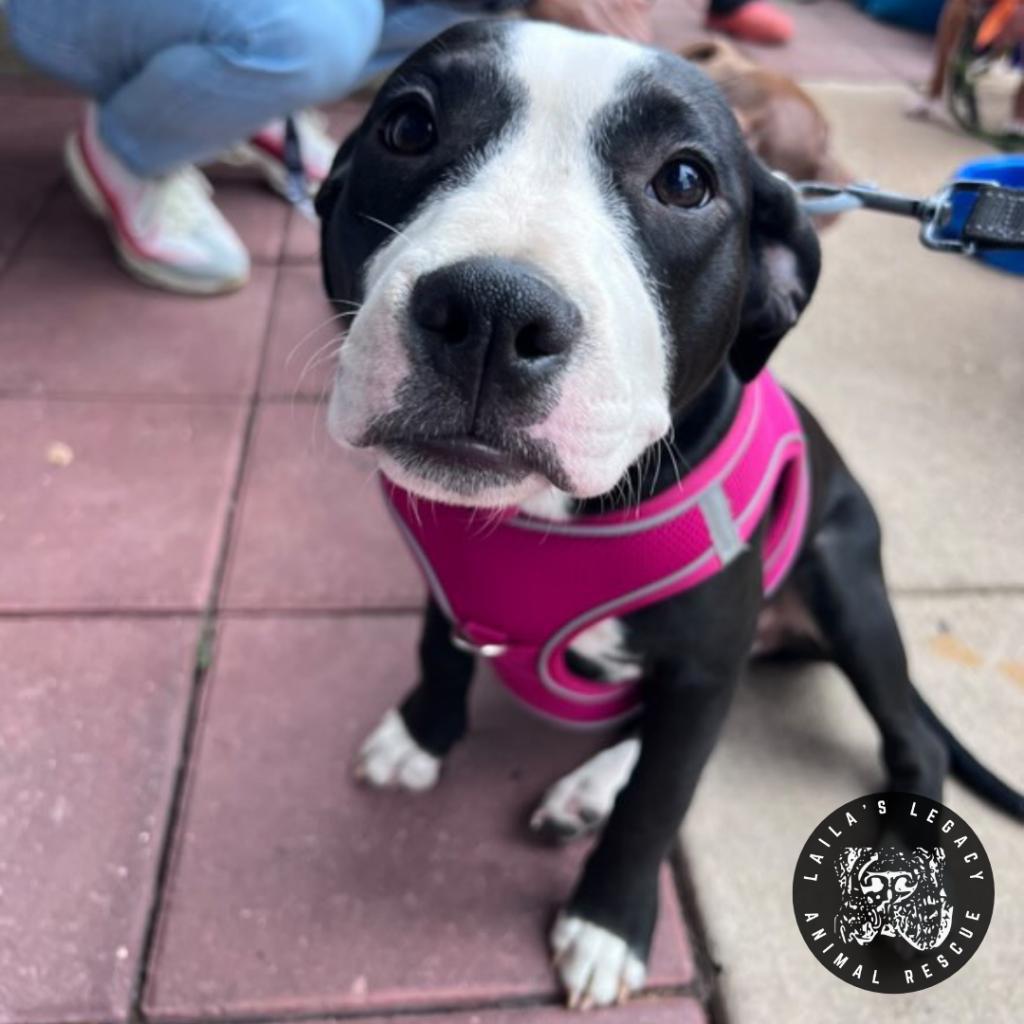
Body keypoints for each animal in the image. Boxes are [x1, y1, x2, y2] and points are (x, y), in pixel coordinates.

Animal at [315, 19, 1019, 1011]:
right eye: (408, 127)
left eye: (684, 180)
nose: (491, 311)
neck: (545, 522)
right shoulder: (446, 572)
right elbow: (439, 647)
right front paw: (422, 734)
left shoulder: (701, 666)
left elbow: (662, 800)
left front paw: (609, 923)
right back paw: (588, 786)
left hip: (842, 578)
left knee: (911, 741)